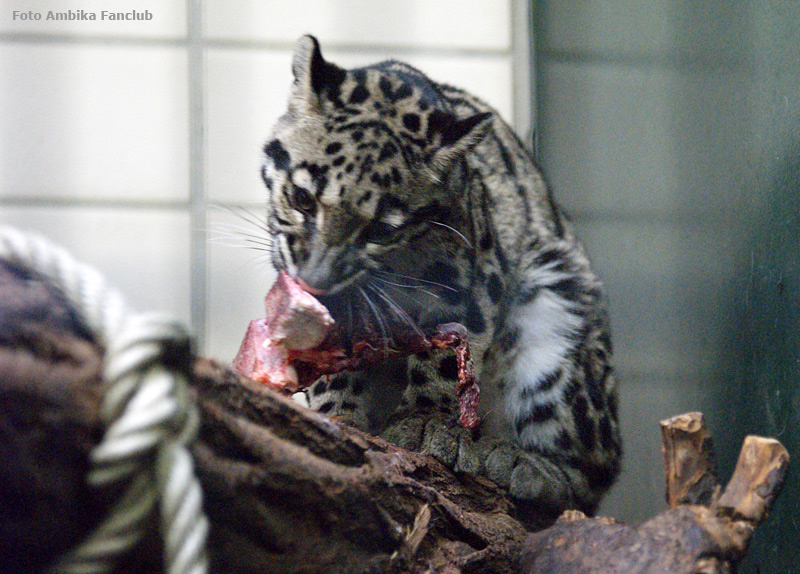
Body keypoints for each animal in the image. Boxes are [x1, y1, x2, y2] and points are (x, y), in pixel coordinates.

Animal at [260, 36, 620, 532]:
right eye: (301, 198)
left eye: (381, 228)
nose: (316, 281)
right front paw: (339, 416)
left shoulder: (467, 283)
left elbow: (446, 356)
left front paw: (425, 422)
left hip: (559, 316)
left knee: (589, 477)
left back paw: (525, 465)